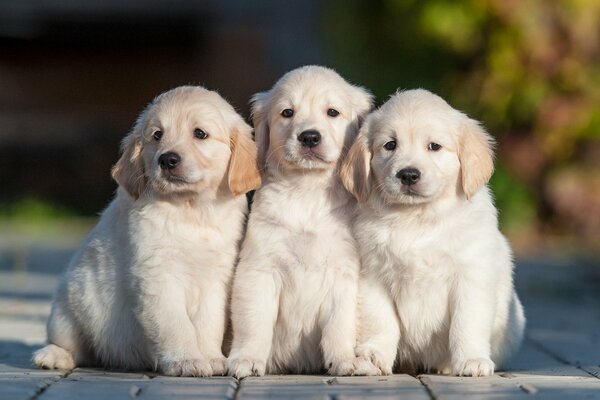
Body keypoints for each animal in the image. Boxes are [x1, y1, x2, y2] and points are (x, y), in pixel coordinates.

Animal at [31, 86, 260, 376]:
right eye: (157, 135)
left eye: (200, 133)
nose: (168, 159)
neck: (190, 210)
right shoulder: (158, 275)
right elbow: (175, 324)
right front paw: (187, 359)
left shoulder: (217, 278)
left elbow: (209, 324)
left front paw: (212, 357)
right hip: (69, 305)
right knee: (71, 344)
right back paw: (52, 356)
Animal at [226, 65, 372, 378]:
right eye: (287, 113)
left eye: (332, 112)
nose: (309, 137)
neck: (307, 191)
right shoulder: (259, 269)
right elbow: (254, 322)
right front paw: (246, 358)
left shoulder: (344, 273)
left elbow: (339, 324)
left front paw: (344, 360)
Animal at [342, 89, 524, 376]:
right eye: (390, 145)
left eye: (434, 146)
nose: (408, 175)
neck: (417, 219)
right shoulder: (373, 276)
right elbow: (380, 320)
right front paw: (373, 356)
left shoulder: (471, 275)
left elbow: (467, 322)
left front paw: (471, 360)